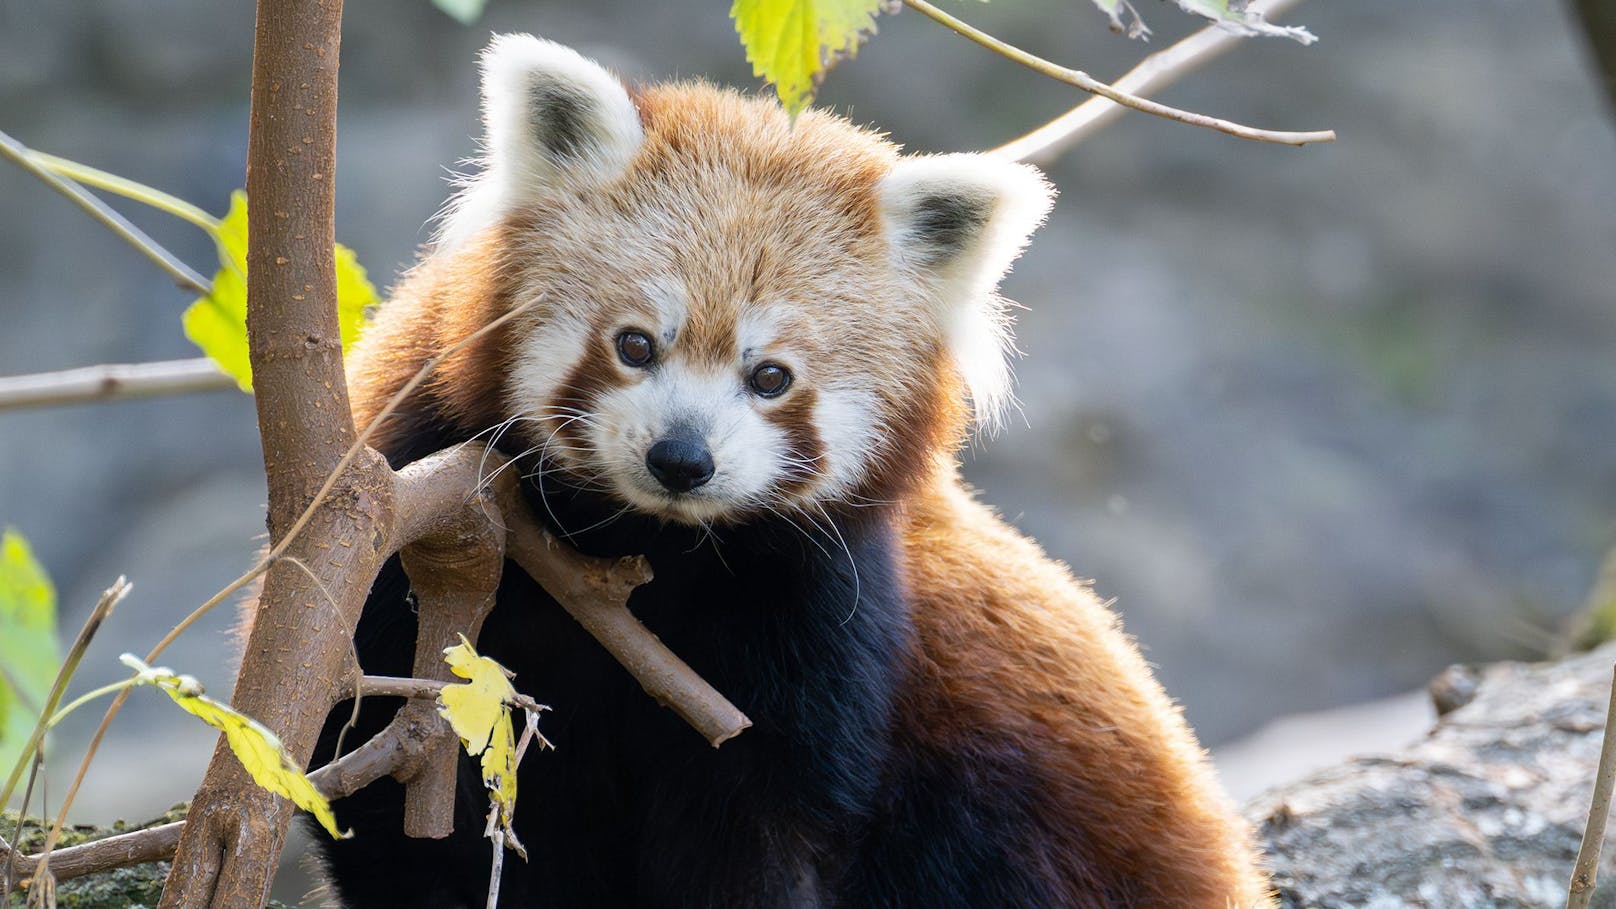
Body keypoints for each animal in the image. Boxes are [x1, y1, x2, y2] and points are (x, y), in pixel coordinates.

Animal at [311, 33, 1273, 905]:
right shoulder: (406, 513)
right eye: (635, 344)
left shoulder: (819, 616)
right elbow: (389, 793)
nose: (682, 457)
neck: (638, 544)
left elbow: (760, 829)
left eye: (770, 376)